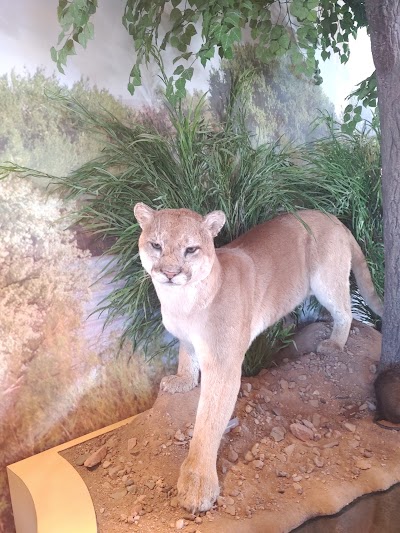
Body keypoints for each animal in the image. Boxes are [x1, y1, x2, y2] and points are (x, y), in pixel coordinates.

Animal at [134, 204, 382, 512]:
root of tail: (332, 217)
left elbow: (208, 422)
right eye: (156, 245)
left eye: (190, 249)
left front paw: (198, 483)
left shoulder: (223, 365)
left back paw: (334, 343)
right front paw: (182, 381)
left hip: (326, 281)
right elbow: (185, 357)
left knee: (345, 311)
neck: (181, 303)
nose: (169, 273)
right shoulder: (188, 340)